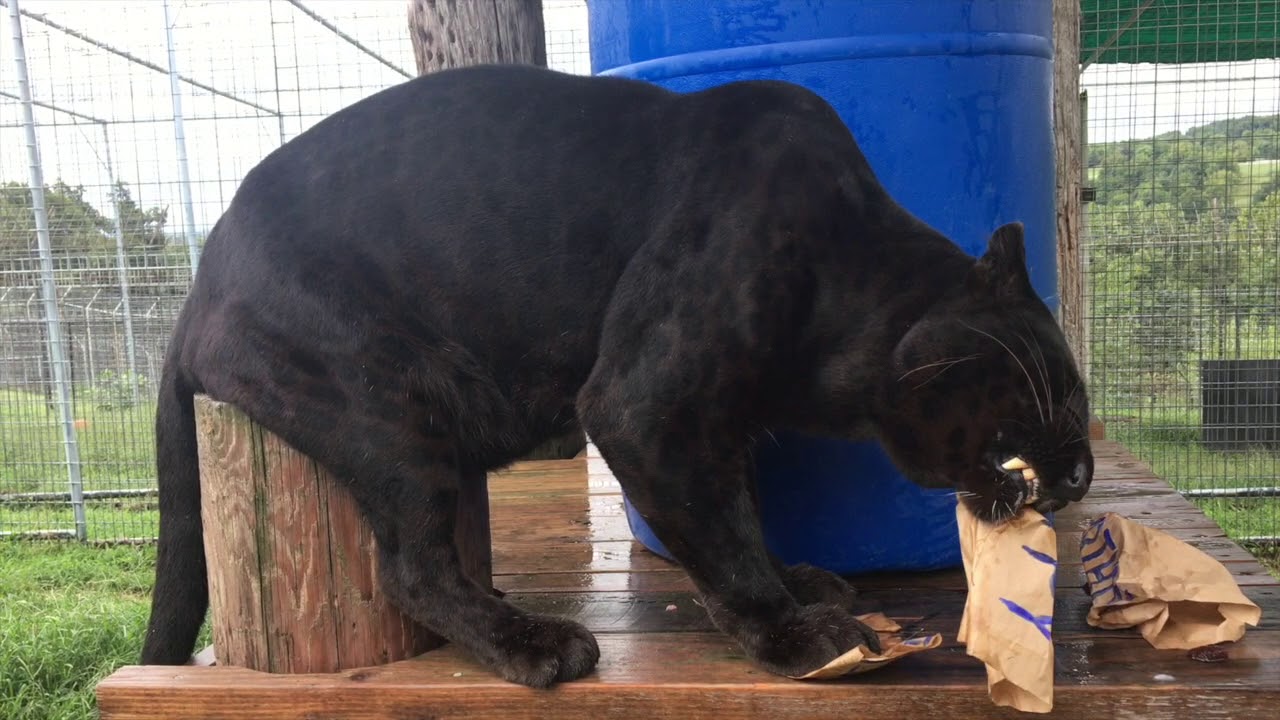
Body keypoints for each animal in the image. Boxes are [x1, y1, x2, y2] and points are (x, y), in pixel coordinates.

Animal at [139, 63, 1093, 688]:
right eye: (1065, 389)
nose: (1083, 474)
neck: (851, 280)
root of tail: (196, 290)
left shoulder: (716, 424)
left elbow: (739, 518)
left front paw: (796, 583)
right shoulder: (646, 406)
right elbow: (720, 537)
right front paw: (797, 634)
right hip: (390, 405)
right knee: (412, 568)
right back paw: (537, 646)